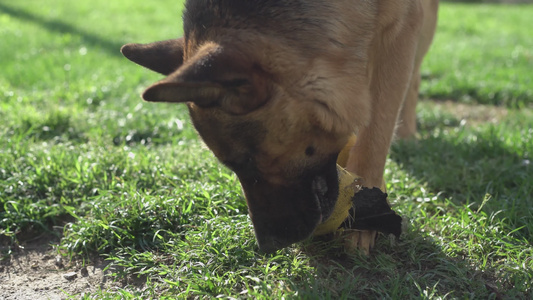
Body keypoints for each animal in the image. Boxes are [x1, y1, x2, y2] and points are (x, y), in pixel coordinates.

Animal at [122, 0, 438, 254]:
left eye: (246, 160)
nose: (267, 246)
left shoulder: (401, 27)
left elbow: (376, 133)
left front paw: (364, 222)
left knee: (412, 79)